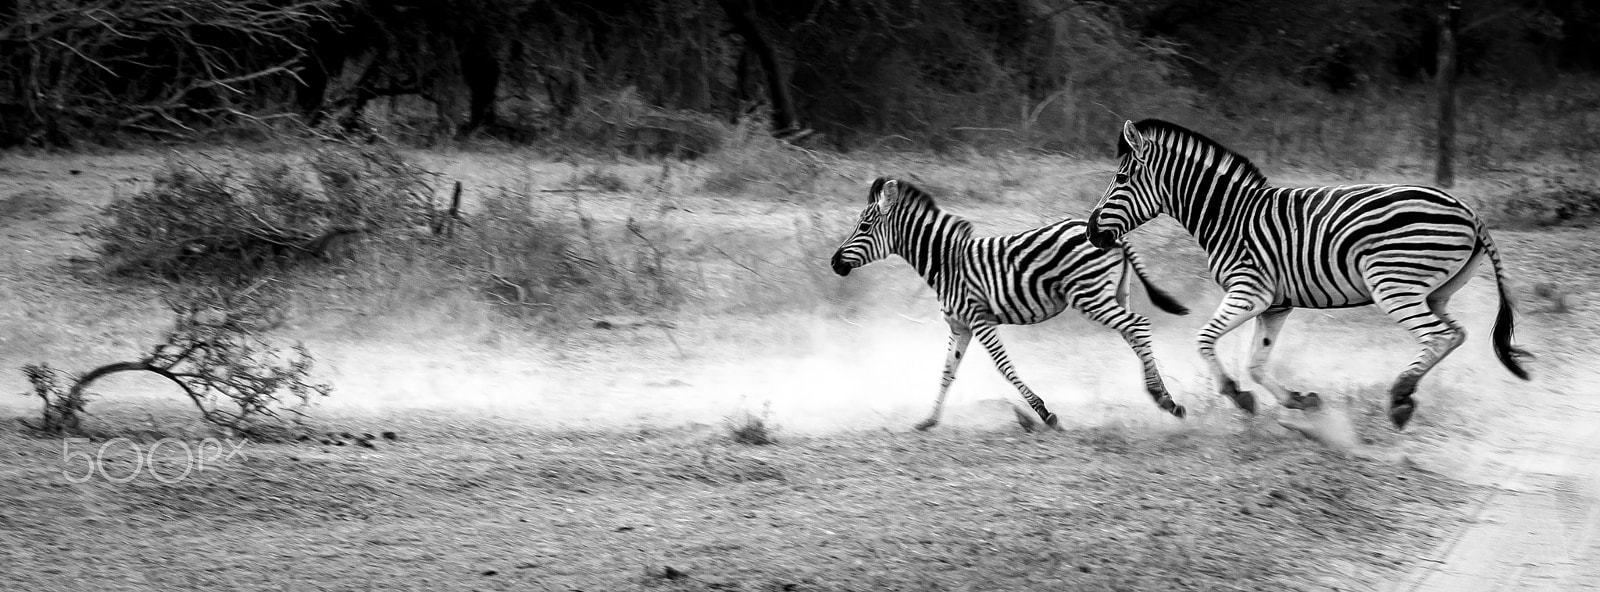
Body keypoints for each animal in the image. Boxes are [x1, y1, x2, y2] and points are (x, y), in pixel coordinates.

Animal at [829, 177, 1191, 431]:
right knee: (1133, 333)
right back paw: (1165, 399)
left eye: (863, 226)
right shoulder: (960, 326)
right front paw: (929, 419)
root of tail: (1111, 233)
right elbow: (947, 371)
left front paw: (1045, 413)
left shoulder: (979, 319)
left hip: (1090, 296)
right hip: (1113, 293)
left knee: (1138, 325)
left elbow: (1004, 367)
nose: (834, 263)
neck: (947, 264)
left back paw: (1162, 399)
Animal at [1085, 119, 1532, 430]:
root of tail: (1468, 211)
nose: (1090, 232)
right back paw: (1406, 395)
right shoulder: (1276, 305)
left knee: (1438, 336)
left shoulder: (1250, 291)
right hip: (1435, 292)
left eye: (1121, 179)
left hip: (1393, 285)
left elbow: (1205, 339)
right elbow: (1257, 363)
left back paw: (1399, 398)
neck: (1229, 216)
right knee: (1456, 334)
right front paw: (1298, 401)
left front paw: (1236, 395)